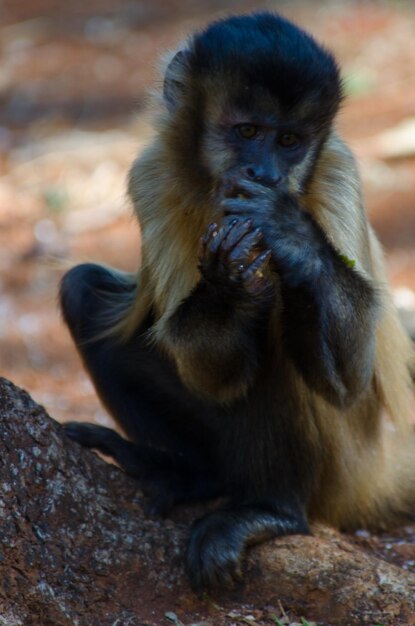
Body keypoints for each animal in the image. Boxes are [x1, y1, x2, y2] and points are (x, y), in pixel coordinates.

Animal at [60, 12, 415, 592]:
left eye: (290, 141)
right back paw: (188, 476)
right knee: (83, 289)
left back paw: (271, 511)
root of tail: (375, 475)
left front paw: (289, 232)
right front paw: (228, 282)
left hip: (345, 472)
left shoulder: (338, 169)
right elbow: (212, 374)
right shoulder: (151, 173)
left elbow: (348, 384)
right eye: (248, 132)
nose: (265, 175)